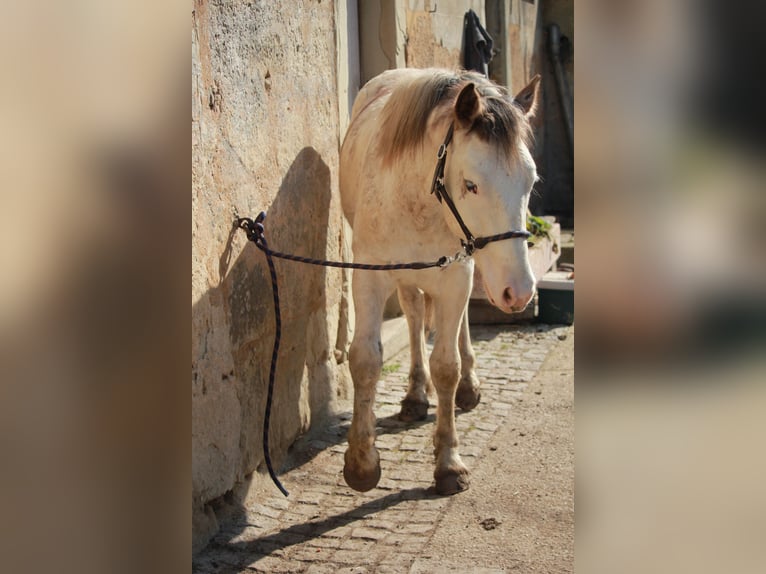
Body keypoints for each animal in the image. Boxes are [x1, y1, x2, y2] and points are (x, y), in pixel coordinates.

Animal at [340, 67, 544, 496]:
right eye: (470, 184)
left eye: (530, 182)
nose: (520, 292)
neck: (418, 200)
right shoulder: (369, 277)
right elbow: (365, 359)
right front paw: (362, 463)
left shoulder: (456, 277)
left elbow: (446, 366)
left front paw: (448, 463)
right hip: (407, 277)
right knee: (415, 315)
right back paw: (416, 395)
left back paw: (467, 384)